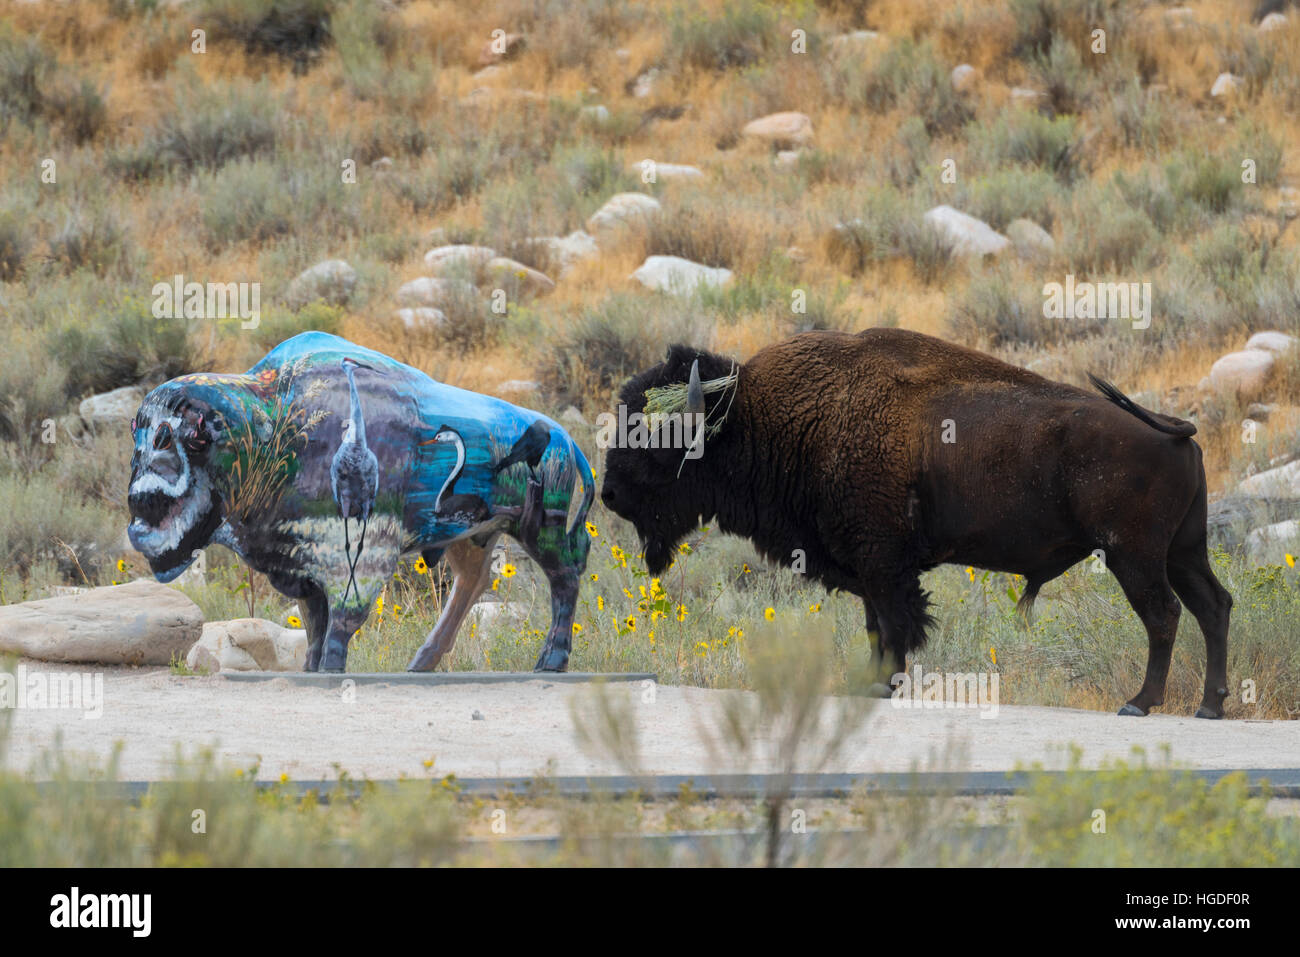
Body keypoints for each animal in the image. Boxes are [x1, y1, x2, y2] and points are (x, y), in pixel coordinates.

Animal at [598, 328, 1227, 717]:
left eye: (655, 441)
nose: (607, 493)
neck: (761, 419)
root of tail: (1175, 428)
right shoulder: (868, 567)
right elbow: (878, 627)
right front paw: (872, 683)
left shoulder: (882, 563)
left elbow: (895, 625)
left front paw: (883, 685)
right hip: (1182, 551)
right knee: (1213, 605)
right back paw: (1210, 705)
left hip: (1132, 555)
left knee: (1165, 615)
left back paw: (1140, 702)